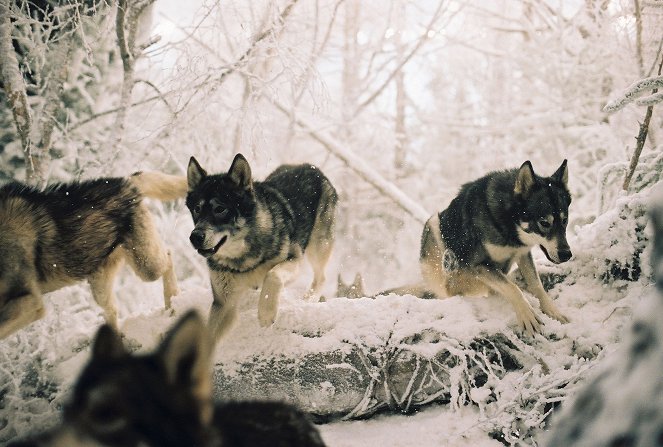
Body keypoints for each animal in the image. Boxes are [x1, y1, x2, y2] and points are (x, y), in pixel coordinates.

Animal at [0, 172, 187, 340]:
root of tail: (124, 181)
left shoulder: (31, 302)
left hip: (147, 269)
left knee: (169, 255)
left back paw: (172, 302)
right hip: (100, 287)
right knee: (112, 310)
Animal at [185, 153, 338, 340]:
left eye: (220, 209)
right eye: (197, 209)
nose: (195, 237)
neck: (243, 259)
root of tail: (308, 166)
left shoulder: (294, 260)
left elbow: (272, 275)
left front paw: (266, 313)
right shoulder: (224, 304)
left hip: (318, 247)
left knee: (321, 278)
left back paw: (308, 299)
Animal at [394, 161, 572, 336]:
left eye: (565, 220)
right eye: (544, 223)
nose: (566, 255)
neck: (507, 223)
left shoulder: (523, 253)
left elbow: (536, 285)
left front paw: (553, 312)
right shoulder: (480, 265)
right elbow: (513, 288)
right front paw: (527, 315)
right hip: (434, 226)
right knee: (450, 287)